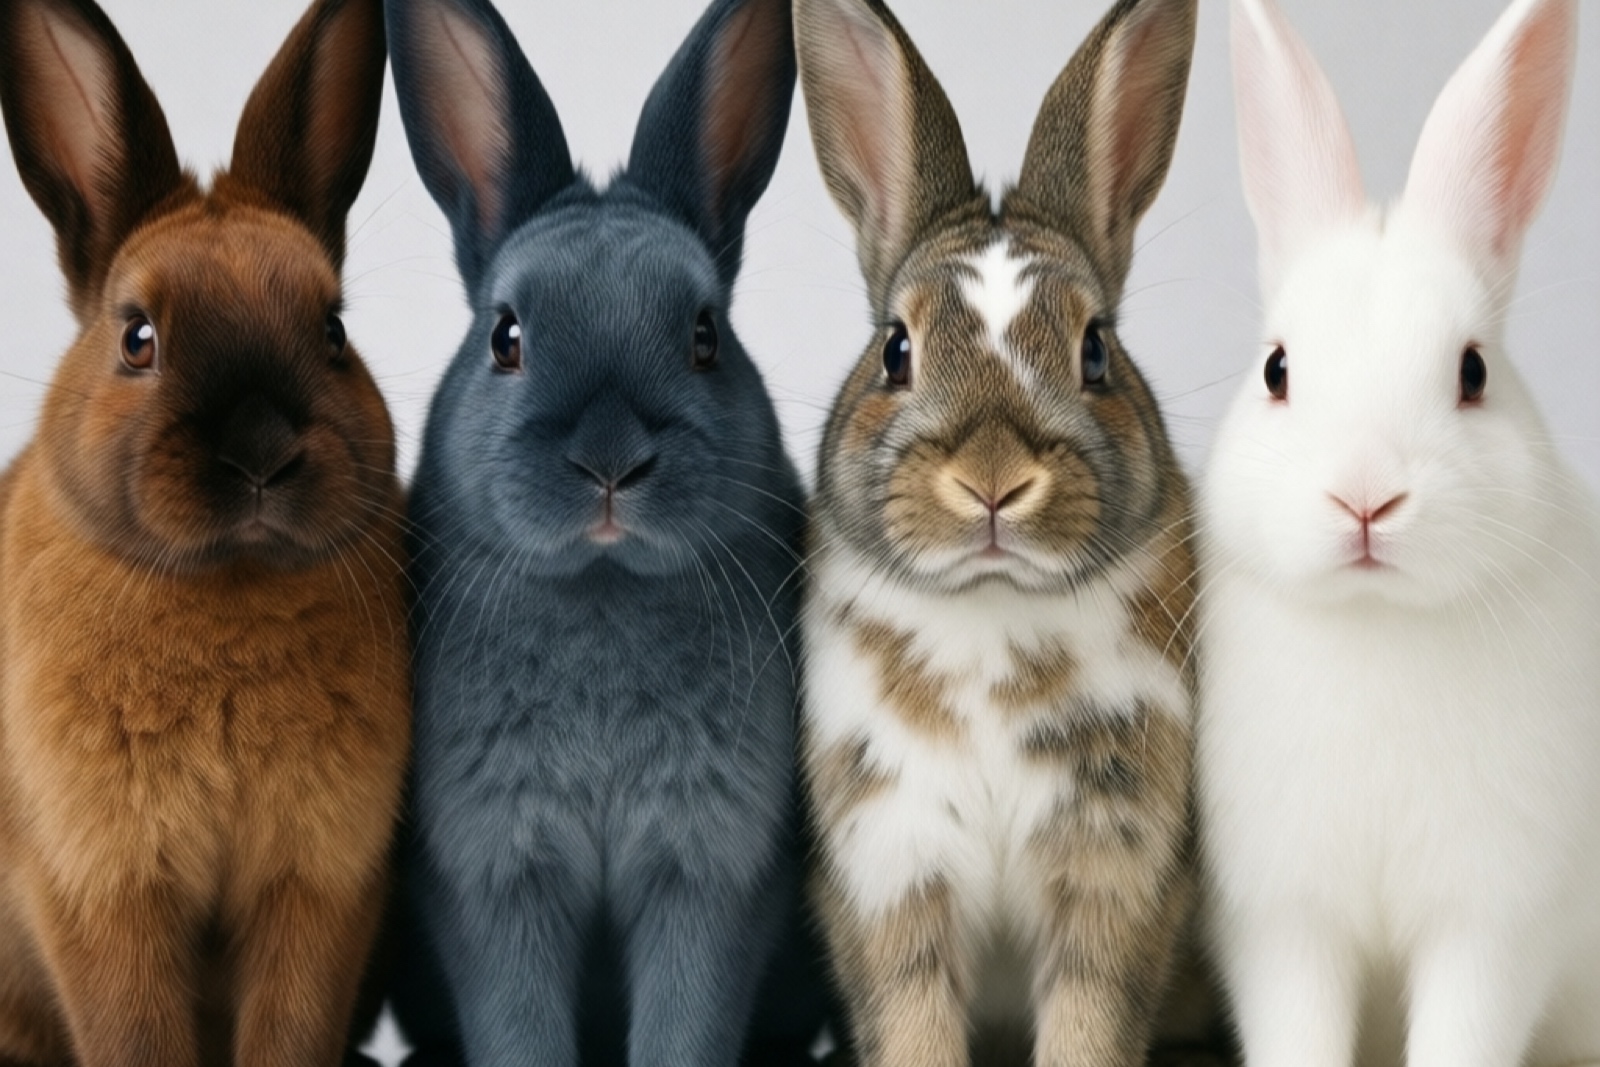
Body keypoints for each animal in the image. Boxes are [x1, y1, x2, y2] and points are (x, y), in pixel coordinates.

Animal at [0, 0, 409, 1065]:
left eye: (333, 332)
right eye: (137, 337)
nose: (260, 451)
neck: (229, 587)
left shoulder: (321, 885)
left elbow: (291, 1027)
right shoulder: (99, 888)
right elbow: (134, 1029)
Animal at [381, 0, 831, 1064]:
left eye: (705, 336)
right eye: (505, 337)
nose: (611, 462)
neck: (603, 583)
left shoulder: (707, 870)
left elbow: (685, 1023)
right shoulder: (498, 872)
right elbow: (519, 1025)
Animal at [791, 0, 1222, 1064]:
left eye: (1096, 349)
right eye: (895, 349)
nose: (993, 481)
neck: (988, 609)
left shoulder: (1114, 873)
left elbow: (1088, 1022)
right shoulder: (890, 869)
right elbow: (911, 1022)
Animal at [1197, 0, 1600, 1065]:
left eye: (1473, 371)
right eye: (1277, 369)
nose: (1366, 499)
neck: (1378, 621)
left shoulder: (1491, 922)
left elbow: (1464, 1031)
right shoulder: (1283, 919)